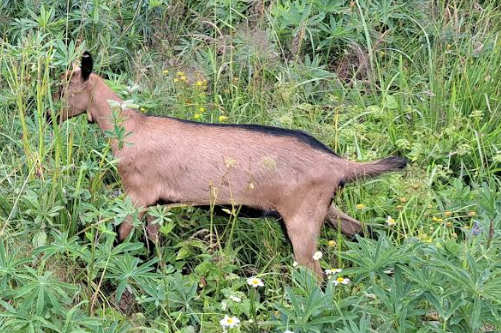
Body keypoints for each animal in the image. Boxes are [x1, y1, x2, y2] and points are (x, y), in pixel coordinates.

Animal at [52, 51, 408, 274]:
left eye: (63, 90)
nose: (47, 115)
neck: (130, 127)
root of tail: (339, 164)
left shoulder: (137, 195)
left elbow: (119, 237)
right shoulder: (156, 204)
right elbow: (153, 244)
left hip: (301, 221)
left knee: (316, 277)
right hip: (325, 210)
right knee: (366, 232)